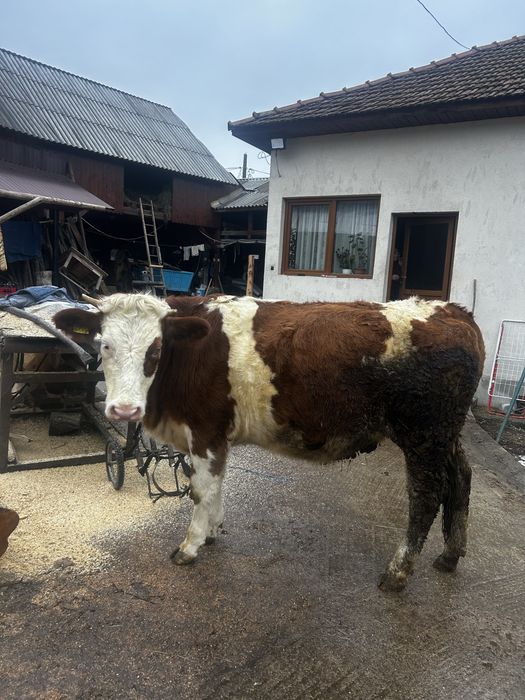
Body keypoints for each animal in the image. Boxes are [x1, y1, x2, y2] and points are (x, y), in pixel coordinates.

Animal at [54, 294, 484, 591]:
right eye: (104, 344)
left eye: (155, 349)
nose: (124, 409)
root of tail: (454, 311)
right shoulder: (215, 437)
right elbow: (216, 485)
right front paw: (213, 530)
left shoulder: (205, 429)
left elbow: (200, 489)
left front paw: (190, 546)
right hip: (446, 437)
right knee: (461, 479)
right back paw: (450, 554)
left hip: (424, 436)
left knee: (426, 497)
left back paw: (397, 572)